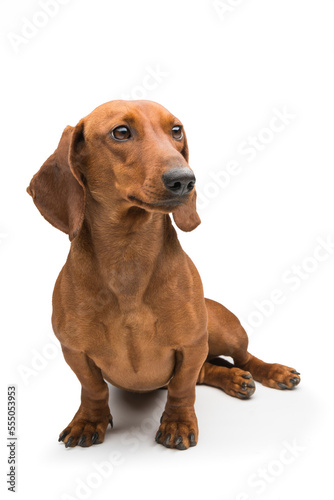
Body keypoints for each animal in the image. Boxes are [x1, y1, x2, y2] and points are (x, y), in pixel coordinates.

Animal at [27, 99, 302, 452]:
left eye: (176, 130)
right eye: (121, 132)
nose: (185, 179)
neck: (128, 256)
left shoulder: (192, 344)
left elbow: (182, 387)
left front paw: (178, 423)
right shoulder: (74, 351)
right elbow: (93, 388)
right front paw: (88, 420)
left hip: (226, 332)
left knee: (243, 358)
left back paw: (273, 372)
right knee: (208, 371)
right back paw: (233, 379)